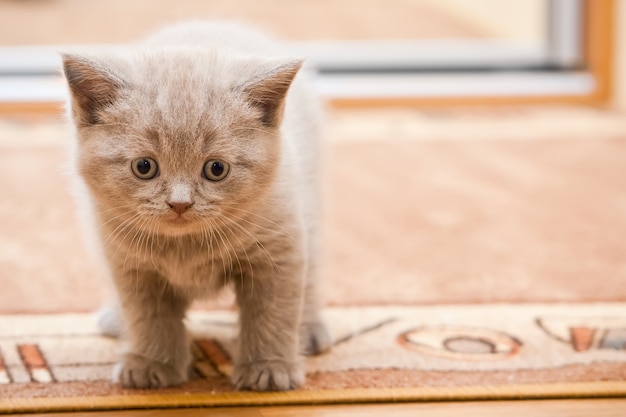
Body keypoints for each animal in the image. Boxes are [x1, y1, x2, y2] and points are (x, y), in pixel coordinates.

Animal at [61, 20, 330, 390]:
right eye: (144, 166)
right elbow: (148, 316)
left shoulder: (277, 250)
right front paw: (151, 363)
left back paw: (311, 330)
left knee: (312, 272)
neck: (186, 247)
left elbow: (274, 313)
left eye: (216, 169)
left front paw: (268, 368)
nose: (179, 203)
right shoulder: (131, 264)